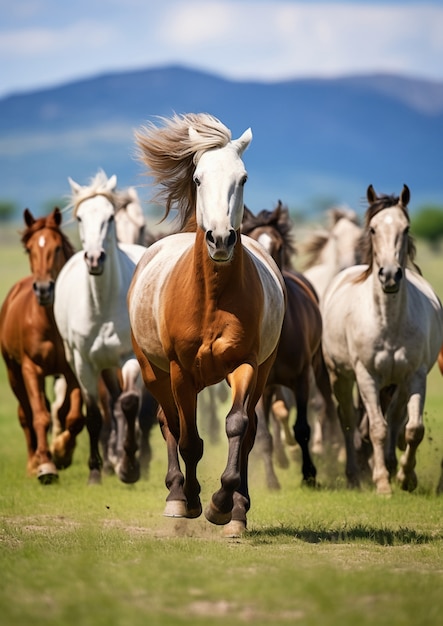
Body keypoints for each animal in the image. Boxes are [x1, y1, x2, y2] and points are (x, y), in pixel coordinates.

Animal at [0, 207, 84, 480]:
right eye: (28, 249)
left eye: (57, 248)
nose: (44, 289)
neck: (50, 323)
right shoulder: (31, 369)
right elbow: (39, 416)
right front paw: (46, 465)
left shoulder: (72, 370)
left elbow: (72, 416)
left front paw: (62, 452)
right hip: (13, 372)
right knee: (25, 414)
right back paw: (32, 462)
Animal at [53, 169, 155, 482]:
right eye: (80, 217)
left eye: (109, 217)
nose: (95, 258)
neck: (101, 304)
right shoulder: (83, 363)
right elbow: (94, 414)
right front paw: (96, 472)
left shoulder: (129, 356)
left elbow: (129, 403)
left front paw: (130, 467)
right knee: (108, 403)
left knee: (121, 402)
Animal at [128, 113, 286, 536]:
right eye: (198, 179)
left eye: (243, 178)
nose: (220, 239)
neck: (211, 298)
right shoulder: (180, 372)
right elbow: (188, 440)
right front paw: (190, 501)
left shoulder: (246, 364)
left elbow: (237, 426)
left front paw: (222, 504)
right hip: (154, 372)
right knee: (169, 423)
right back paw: (176, 494)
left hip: (261, 371)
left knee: (248, 431)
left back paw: (238, 509)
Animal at [241, 200, 338, 488]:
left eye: (279, 245)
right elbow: (262, 434)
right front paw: (272, 480)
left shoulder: (301, 379)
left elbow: (303, 427)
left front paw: (309, 473)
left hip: (319, 368)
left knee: (328, 406)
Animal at [320, 183, 443, 494]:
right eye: (373, 229)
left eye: (406, 227)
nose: (389, 275)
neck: (388, 321)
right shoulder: (366, 376)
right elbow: (376, 428)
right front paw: (382, 483)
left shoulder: (415, 376)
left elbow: (412, 429)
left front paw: (404, 476)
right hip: (340, 376)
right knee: (348, 420)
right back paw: (354, 474)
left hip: (396, 382)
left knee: (396, 418)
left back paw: (390, 463)